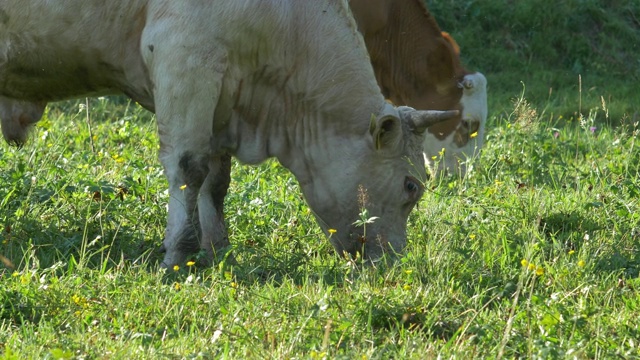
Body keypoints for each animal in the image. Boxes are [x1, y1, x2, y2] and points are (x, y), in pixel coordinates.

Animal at [2, 0, 458, 268]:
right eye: (412, 185)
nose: (394, 261)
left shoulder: (222, 93)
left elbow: (215, 180)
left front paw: (216, 249)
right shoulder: (185, 59)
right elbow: (188, 167)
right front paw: (179, 253)